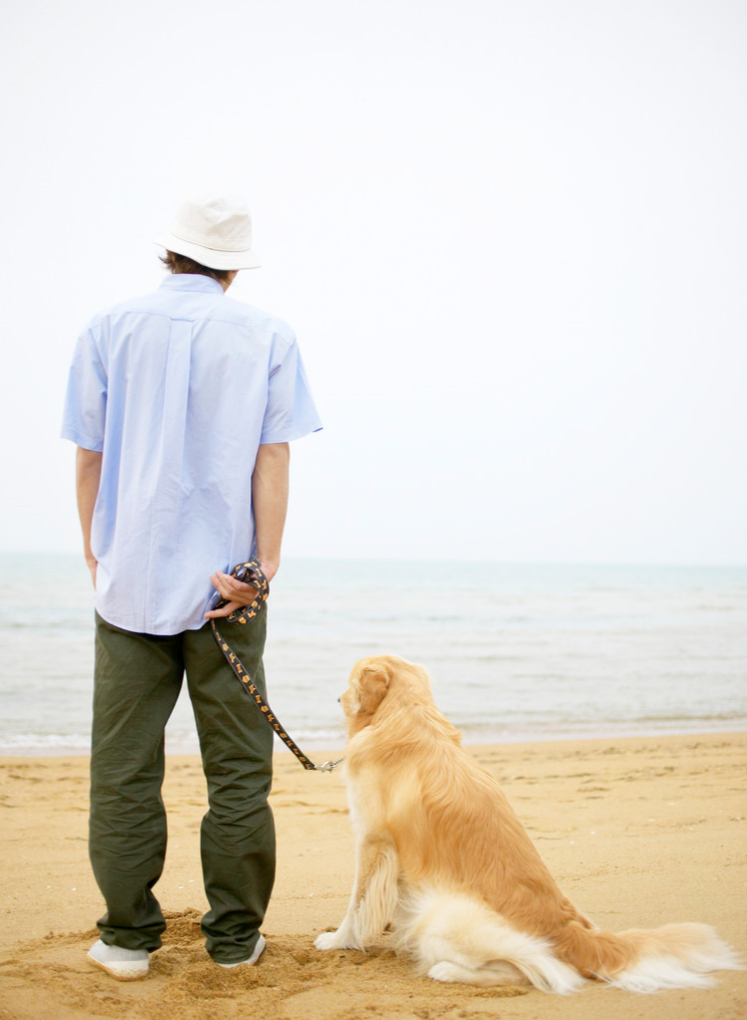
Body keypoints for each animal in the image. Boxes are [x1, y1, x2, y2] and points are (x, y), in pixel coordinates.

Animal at [314, 656, 742, 991]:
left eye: (349, 682)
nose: (335, 698)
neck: (404, 713)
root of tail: (578, 936)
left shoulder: (372, 838)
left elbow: (357, 902)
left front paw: (338, 940)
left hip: (441, 914)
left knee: (533, 971)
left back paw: (447, 971)